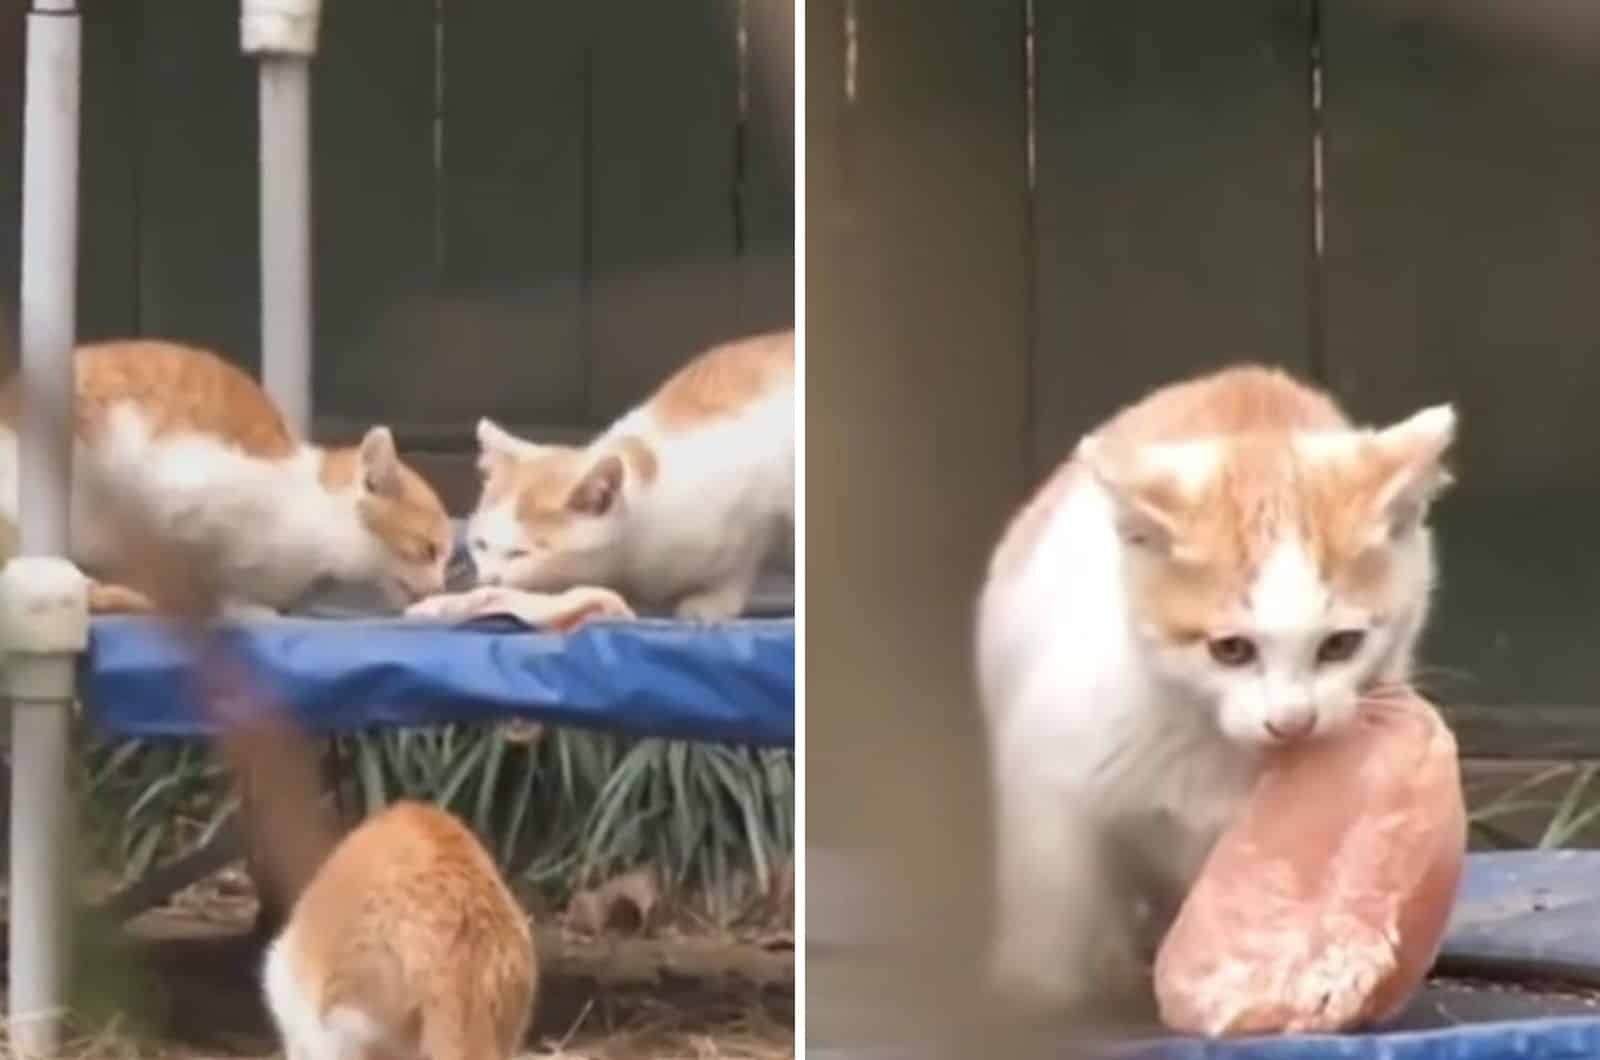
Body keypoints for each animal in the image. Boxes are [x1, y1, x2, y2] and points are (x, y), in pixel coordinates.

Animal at [972, 369, 1465, 1018]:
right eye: (1231, 650)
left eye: (1340, 645)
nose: (1293, 721)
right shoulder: (1051, 762)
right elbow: (1051, 879)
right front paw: (1035, 990)